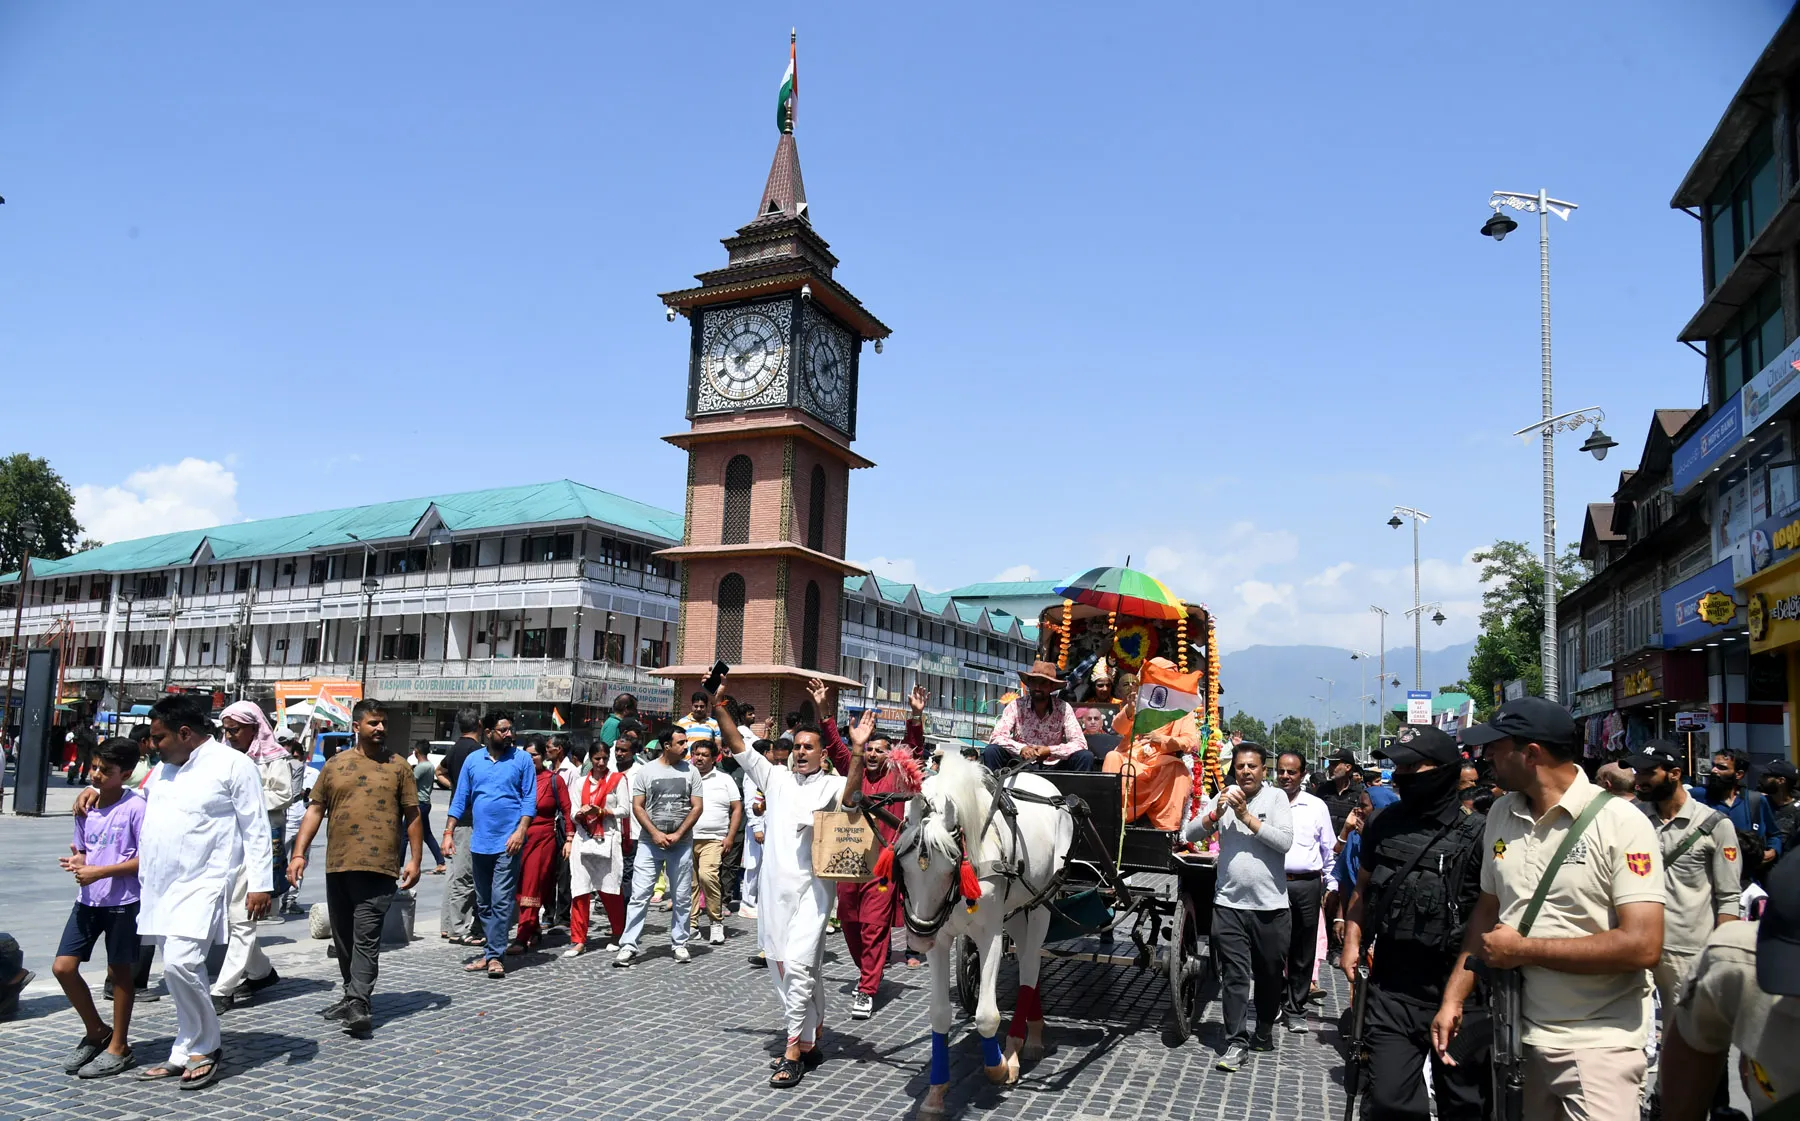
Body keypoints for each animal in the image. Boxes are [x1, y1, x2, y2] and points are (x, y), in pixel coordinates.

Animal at [892, 748, 1075, 1119]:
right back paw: (1033, 1031)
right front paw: (935, 1093)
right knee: (1027, 961)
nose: (918, 936)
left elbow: (987, 1016)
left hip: (1042, 902)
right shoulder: (941, 938)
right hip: (1018, 907)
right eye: (902, 864)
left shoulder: (990, 933)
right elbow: (939, 1014)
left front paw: (998, 1067)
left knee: (1030, 965)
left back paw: (1017, 1047)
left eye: (950, 866)